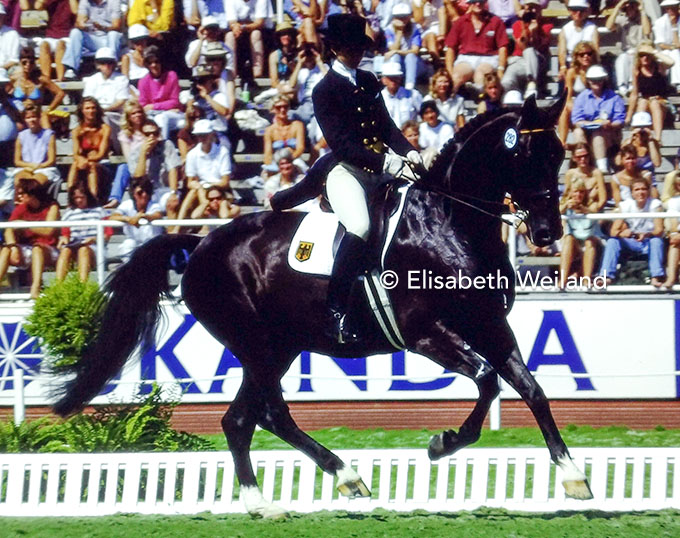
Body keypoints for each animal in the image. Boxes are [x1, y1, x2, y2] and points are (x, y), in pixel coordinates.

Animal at [51, 96, 588, 516]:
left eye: (560, 154)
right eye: (526, 155)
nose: (547, 233)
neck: (450, 222)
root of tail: (201, 244)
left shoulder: (490, 327)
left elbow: (532, 389)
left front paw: (573, 476)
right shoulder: (426, 333)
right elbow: (487, 380)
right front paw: (442, 444)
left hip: (278, 347)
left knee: (240, 420)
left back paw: (263, 503)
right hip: (255, 343)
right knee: (271, 415)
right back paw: (344, 477)